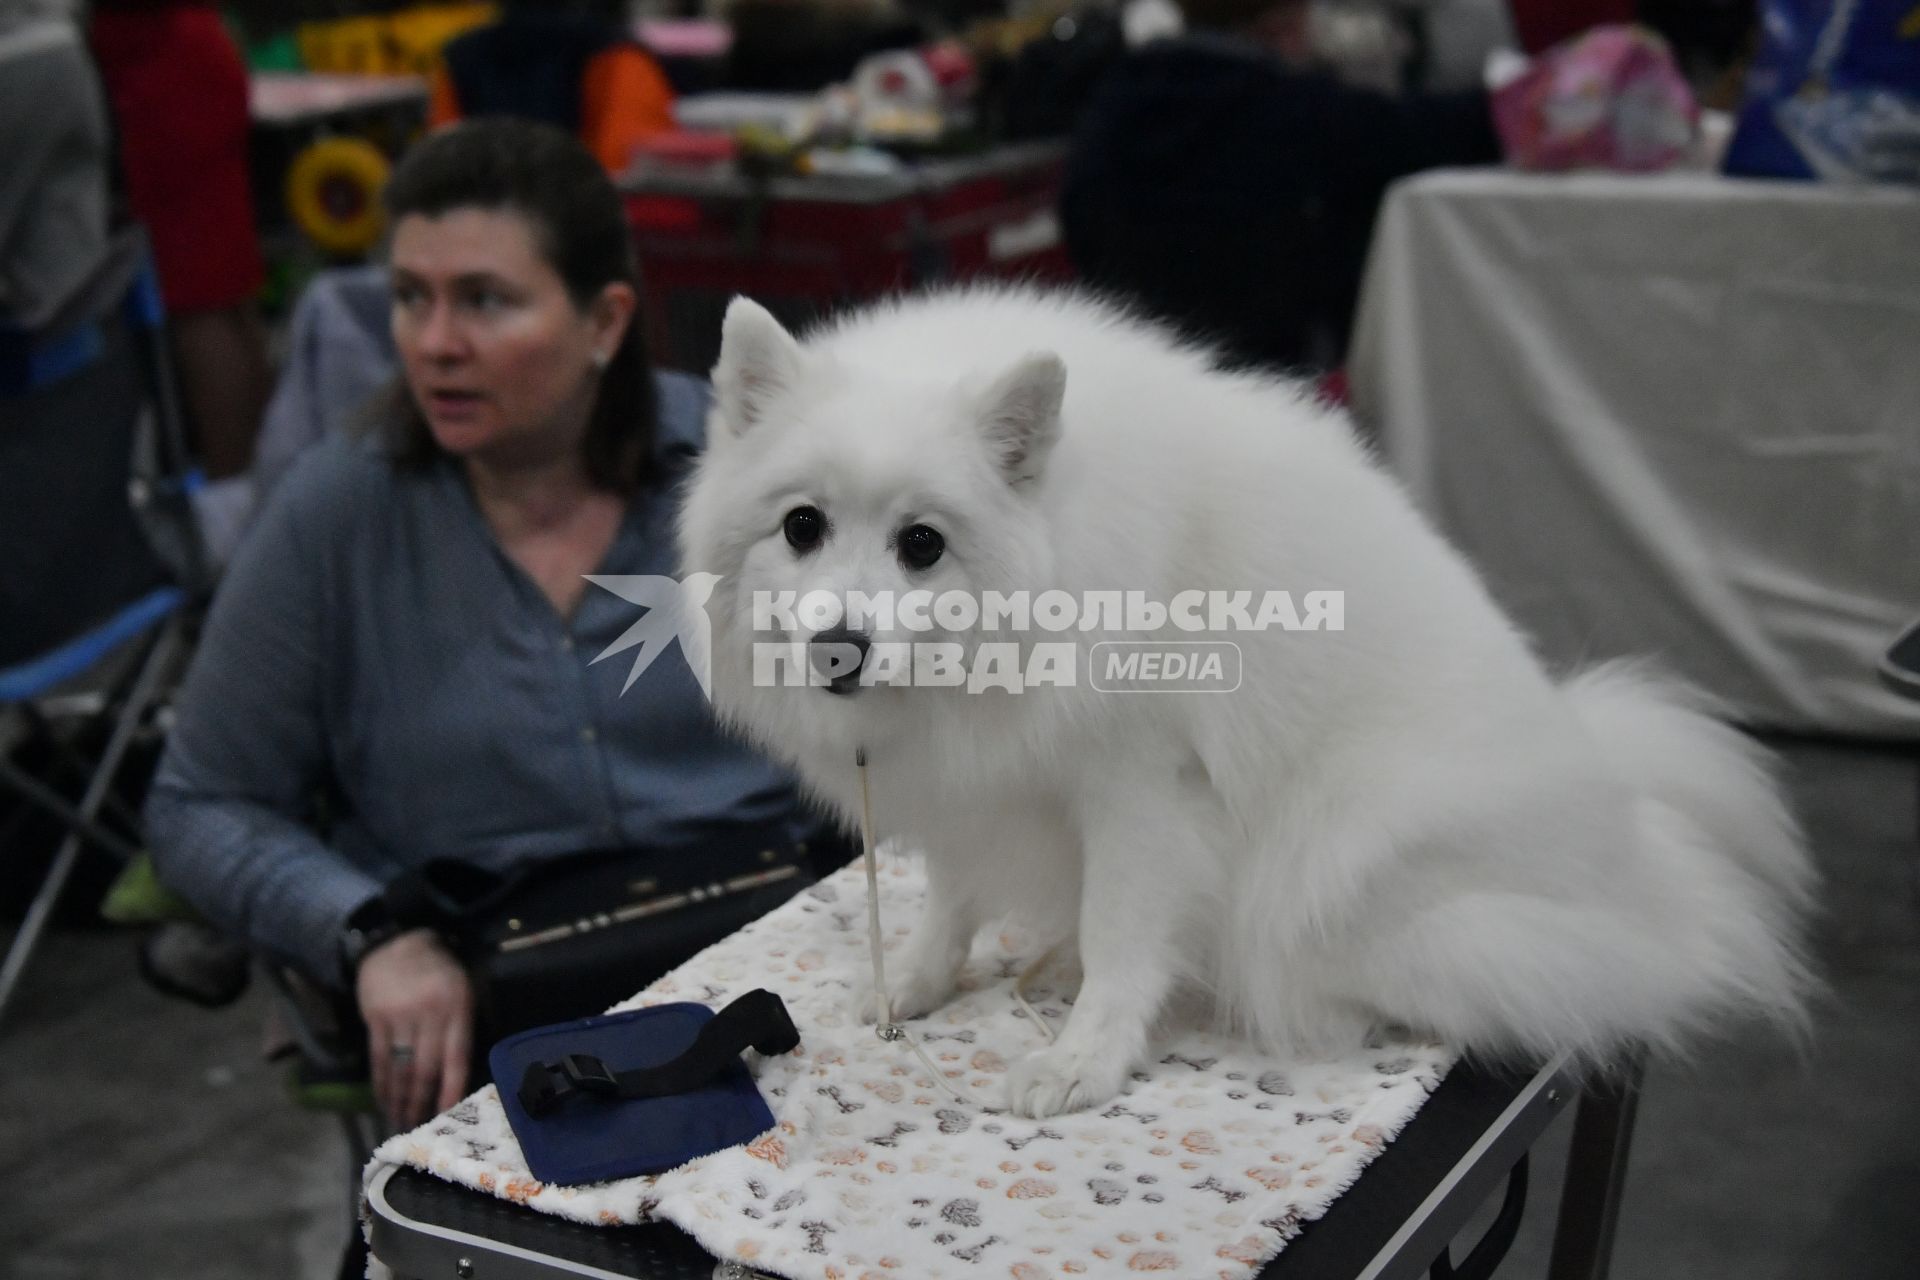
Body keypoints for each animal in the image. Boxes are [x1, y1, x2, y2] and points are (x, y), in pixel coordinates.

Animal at [679, 285, 1812, 1113]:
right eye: (803, 526)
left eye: (922, 544)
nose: (838, 645)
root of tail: (1639, 845)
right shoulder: (969, 785)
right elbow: (951, 903)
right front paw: (913, 983)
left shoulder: (1142, 793)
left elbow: (1124, 935)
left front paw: (1084, 1058)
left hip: (1340, 855)